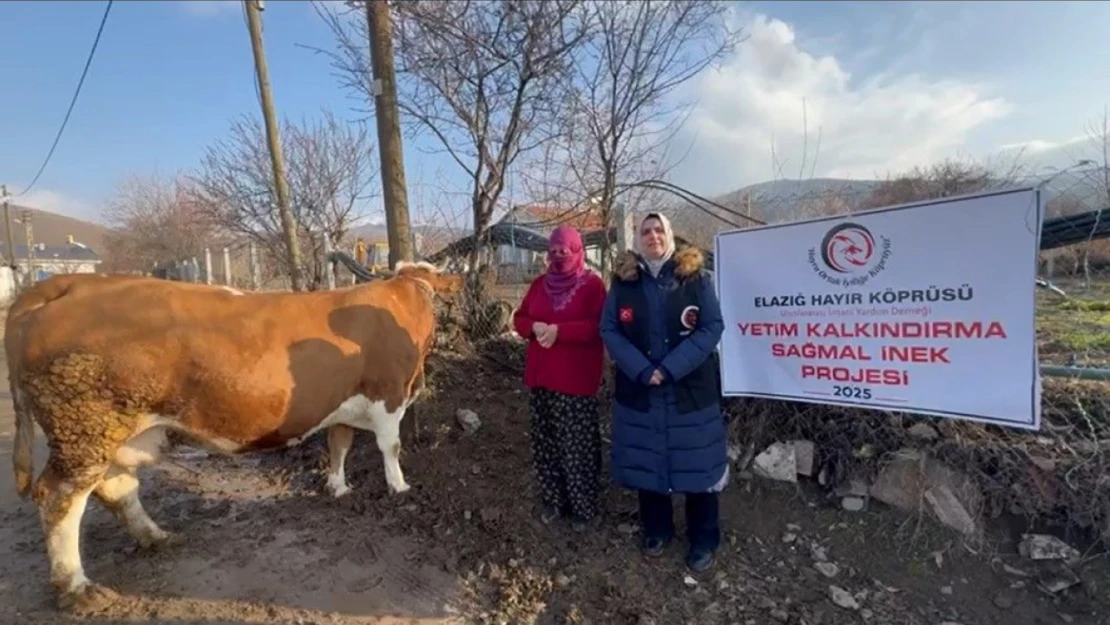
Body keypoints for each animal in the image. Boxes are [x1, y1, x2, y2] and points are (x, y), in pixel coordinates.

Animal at [5, 261, 463, 612]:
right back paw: (77, 588)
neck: (403, 297)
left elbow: (340, 444)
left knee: (115, 486)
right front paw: (399, 487)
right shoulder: (389, 393)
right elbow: (390, 445)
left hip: (110, 432)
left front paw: (338, 487)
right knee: (60, 499)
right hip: (83, 426)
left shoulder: (344, 402)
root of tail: (65, 283)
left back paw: (155, 537)